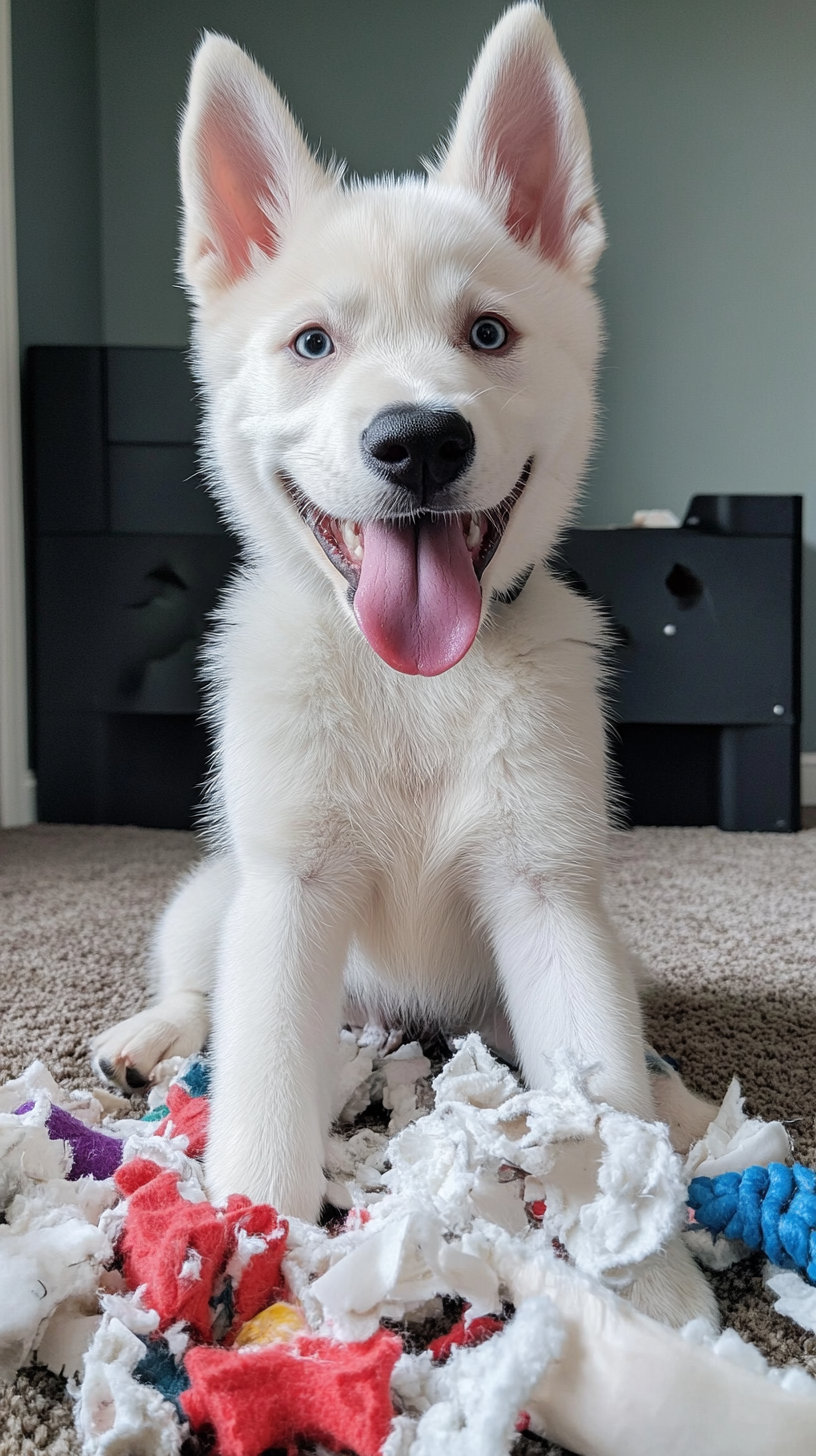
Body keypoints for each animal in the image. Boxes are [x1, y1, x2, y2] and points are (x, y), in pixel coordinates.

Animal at [92, 2, 719, 1333]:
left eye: (487, 333)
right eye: (312, 343)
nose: (419, 440)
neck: (414, 687)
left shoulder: (549, 900)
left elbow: (603, 1094)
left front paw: (653, 1291)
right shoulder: (285, 898)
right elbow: (262, 1096)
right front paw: (247, 1255)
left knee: (630, 1044)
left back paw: (689, 1105)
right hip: (215, 894)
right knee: (197, 982)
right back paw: (148, 1034)